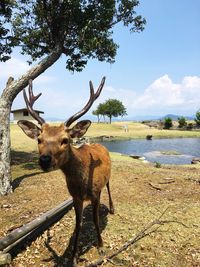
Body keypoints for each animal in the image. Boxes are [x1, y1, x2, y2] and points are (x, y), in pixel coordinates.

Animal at [18, 78, 115, 264]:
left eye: (65, 140)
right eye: (39, 139)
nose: (44, 160)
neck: (82, 183)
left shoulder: (95, 192)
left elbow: (96, 220)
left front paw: (101, 246)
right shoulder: (75, 196)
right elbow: (78, 224)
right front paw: (74, 256)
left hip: (108, 177)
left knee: (109, 186)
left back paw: (112, 208)